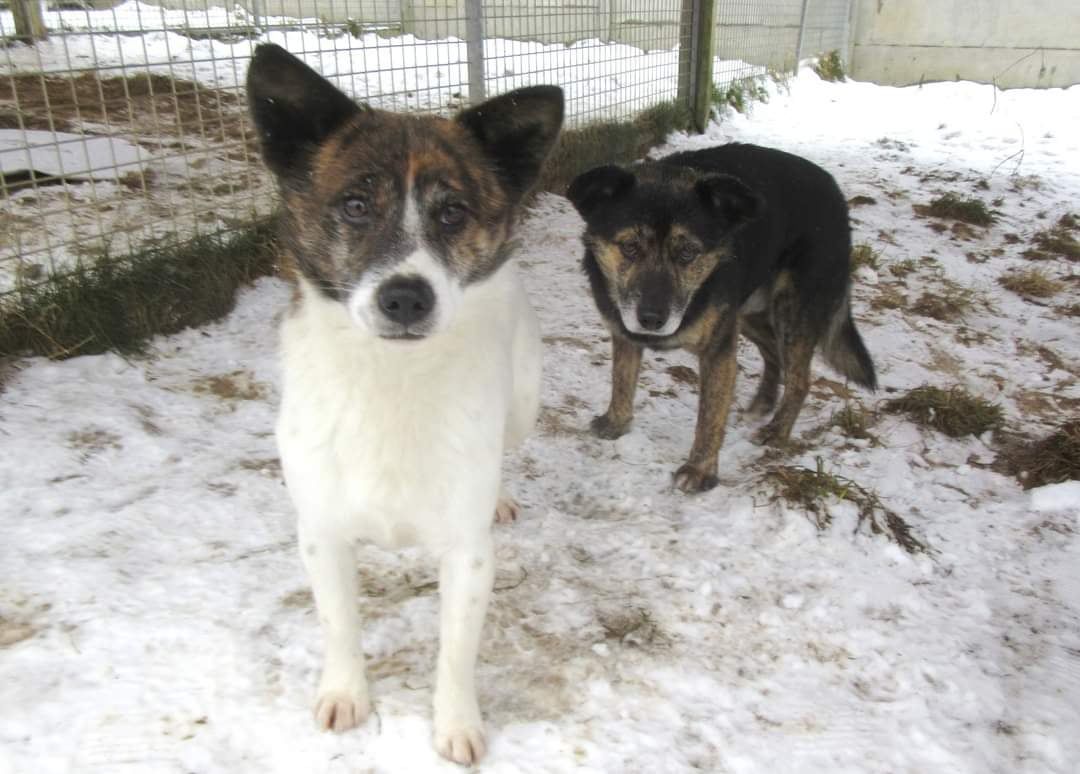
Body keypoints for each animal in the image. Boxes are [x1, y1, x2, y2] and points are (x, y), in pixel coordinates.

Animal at [570, 144, 872, 492]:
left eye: (687, 252)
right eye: (630, 246)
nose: (651, 320)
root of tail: (835, 189)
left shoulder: (717, 351)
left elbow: (710, 417)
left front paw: (700, 470)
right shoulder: (625, 334)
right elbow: (622, 380)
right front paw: (616, 423)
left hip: (791, 310)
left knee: (799, 378)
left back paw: (777, 429)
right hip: (747, 312)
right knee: (773, 351)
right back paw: (763, 403)